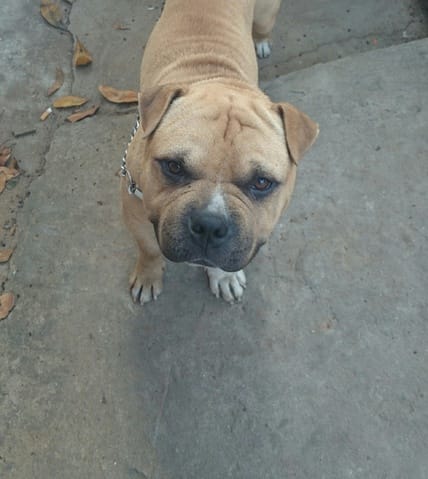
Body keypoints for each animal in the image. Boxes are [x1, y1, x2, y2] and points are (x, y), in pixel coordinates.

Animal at [121, 0, 319, 304]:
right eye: (173, 166)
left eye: (262, 182)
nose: (210, 225)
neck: (214, 77)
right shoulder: (134, 207)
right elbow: (149, 248)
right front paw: (148, 275)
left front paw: (224, 278)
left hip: (266, 14)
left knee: (263, 27)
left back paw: (261, 42)